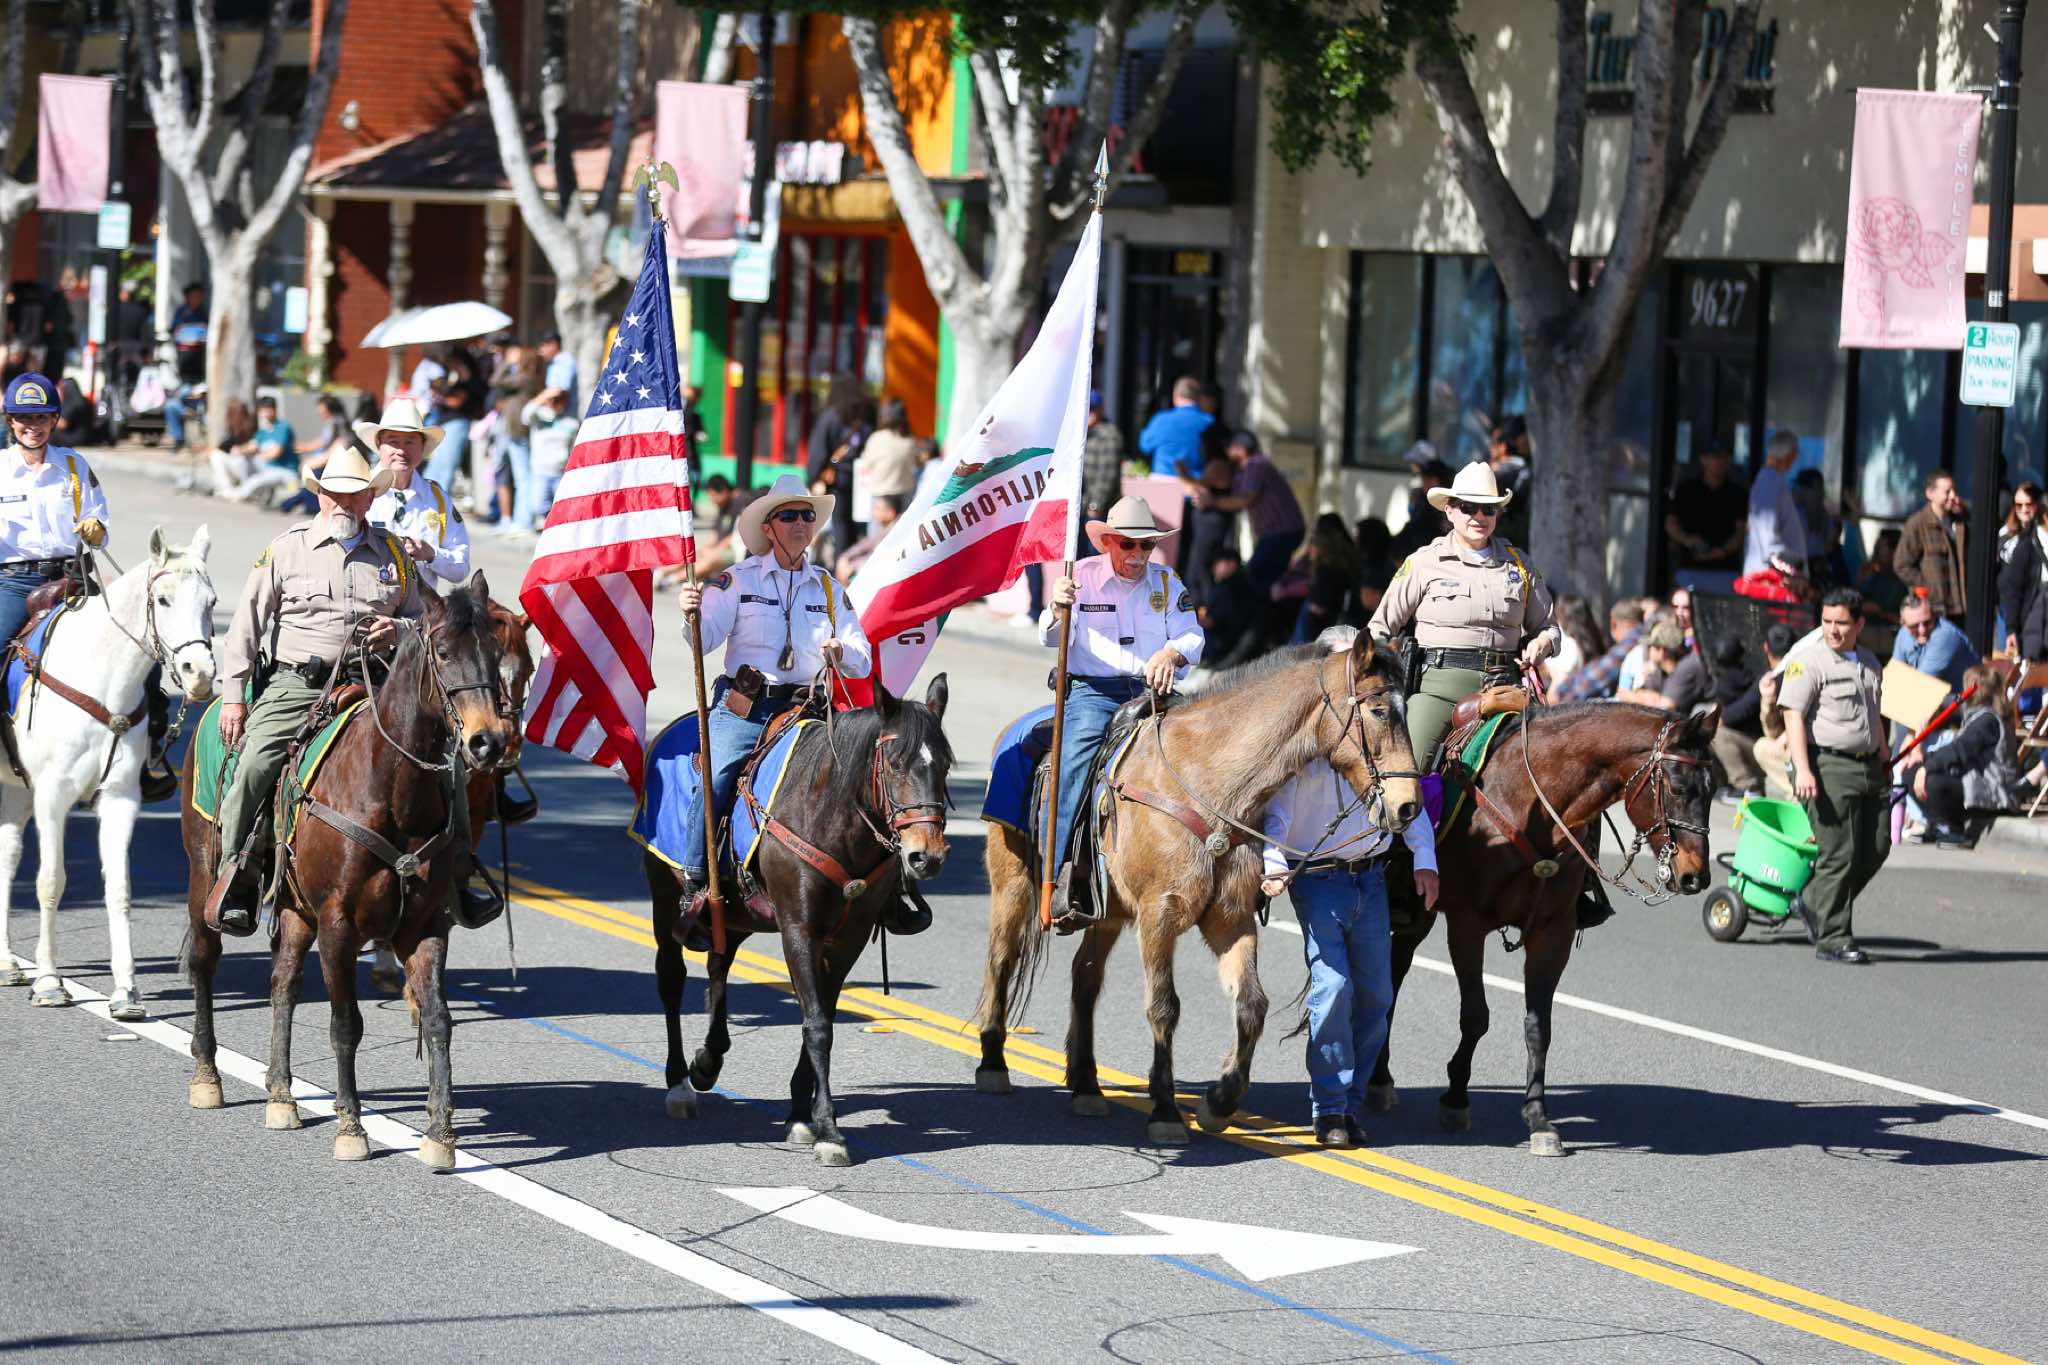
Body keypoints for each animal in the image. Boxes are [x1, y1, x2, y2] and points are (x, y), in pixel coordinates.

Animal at [0, 527, 219, 1019]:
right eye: (163, 599)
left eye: (212, 601)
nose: (199, 674)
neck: (100, 678)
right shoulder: (52, 797)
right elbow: (50, 882)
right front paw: (49, 981)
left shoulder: (119, 799)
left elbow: (119, 888)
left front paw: (126, 992)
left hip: (14, 791)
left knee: (6, 856)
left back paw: (6, 961)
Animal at [648, 677, 953, 1168]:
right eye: (894, 763)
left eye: (943, 764)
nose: (928, 856)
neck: (830, 816)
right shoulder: (799, 930)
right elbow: (817, 1026)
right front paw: (829, 1130)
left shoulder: (846, 939)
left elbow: (820, 1014)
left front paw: (799, 1112)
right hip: (664, 900)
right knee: (672, 980)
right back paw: (678, 1082)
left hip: (735, 914)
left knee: (718, 966)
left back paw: (708, 1061)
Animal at [977, 634, 1422, 1145]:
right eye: (1380, 711)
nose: (1408, 806)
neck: (1209, 784)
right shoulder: (1158, 916)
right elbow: (1164, 1007)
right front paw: (1166, 1109)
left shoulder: (1230, 918)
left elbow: (1252, 1005)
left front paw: (1220, 1101)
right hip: (1012, 884)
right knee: (1002, 960)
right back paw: (993, 1064)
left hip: (1107, 913)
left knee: (1084, 979)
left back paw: (1087, 1084)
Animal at [1368, 701, 1718, 1157]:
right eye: (1677, 787)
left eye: (1713, 789)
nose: (1696, 876)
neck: (1531, 804)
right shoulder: (1467, 925)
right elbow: (1475, 1017)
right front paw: (1456, 1098)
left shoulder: (1554, 933)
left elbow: (1539, 1028)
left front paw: (1538, 1117)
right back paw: (1377, 1080)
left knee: (1391, 977)